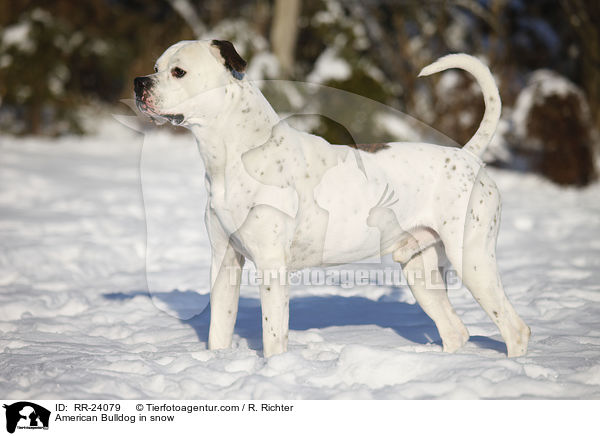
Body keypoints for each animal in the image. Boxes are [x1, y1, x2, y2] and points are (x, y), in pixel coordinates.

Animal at [135, 39, 528, 356]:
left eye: (178, 71)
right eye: (155, 67)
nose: (139, 82)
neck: (235, 153)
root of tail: (468, 155)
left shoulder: (271, 266)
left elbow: (273, 336)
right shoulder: (225, 260)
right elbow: (219, 328)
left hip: (473, 260)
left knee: (515, 329)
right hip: (422, 271)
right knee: (455, 330)